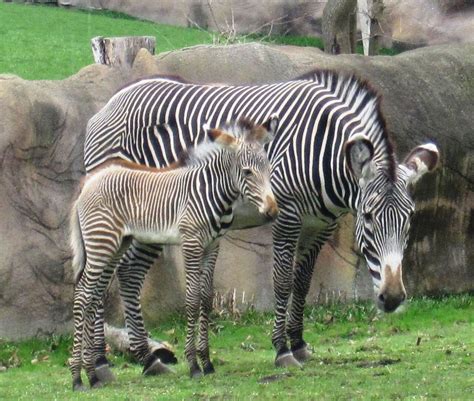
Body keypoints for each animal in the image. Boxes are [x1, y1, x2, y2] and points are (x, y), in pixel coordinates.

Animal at [68, 116, 280, 390]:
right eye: (247, 172)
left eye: (268, 168)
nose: (272, 211)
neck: (211, 193)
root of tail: (89, 181)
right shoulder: (191, 243)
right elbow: (191, 299)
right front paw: (193, 364)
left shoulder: (213, 246)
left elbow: (206, 298)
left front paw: (207, 362)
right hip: (100, 243)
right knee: (82, 296)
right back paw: (77, 377)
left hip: (116, 244)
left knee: (93, 297)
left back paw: (92, 375)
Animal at [83, 69, 438, 372]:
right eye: (368, 216)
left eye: (409, 219)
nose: (393, 298)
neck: (322, 153)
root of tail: (108, 104)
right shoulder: (288, 216)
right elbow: (282, 282)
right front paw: (282, 350)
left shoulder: (319, 226)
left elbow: (302, 283)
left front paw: (299, 344)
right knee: (103, 279)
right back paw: (101, 362)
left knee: (128, 274)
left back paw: (146, 359)